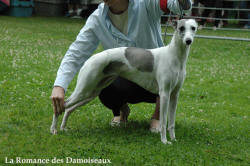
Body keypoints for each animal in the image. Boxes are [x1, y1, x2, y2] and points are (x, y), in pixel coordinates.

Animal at [50, 19, 198, 144]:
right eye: (181, 28)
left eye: (193, 28)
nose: (188, 40)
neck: (175, 57)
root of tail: (90, 59)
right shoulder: (165, 94)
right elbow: (163, 123)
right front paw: (164, 141)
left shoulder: (174, 95)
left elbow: (171, 122)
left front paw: (173, 139)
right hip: (84, 89)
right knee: (63, 106)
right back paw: (54, 129)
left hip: (91, 92)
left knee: (68, 108)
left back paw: (63, 127)